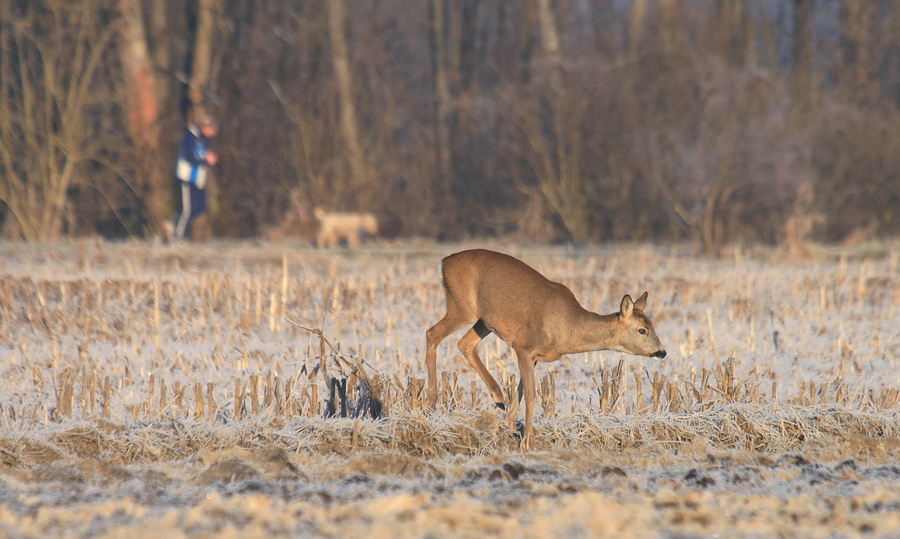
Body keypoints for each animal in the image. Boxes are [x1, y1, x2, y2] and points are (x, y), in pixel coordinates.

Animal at [426, 249, 664, 452]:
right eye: (642, 330)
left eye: (652, 326)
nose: (662, 352)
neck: (568, 328)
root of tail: (445, 261)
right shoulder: (523, 346)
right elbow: (532, 394)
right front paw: (527, 443)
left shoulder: (534, 356)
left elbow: (521, 390)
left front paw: (510, 424)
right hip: (463, 307)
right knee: (432, 333)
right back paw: (431, 401)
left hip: (484, 320)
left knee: (464, 343)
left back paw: (498, 396)